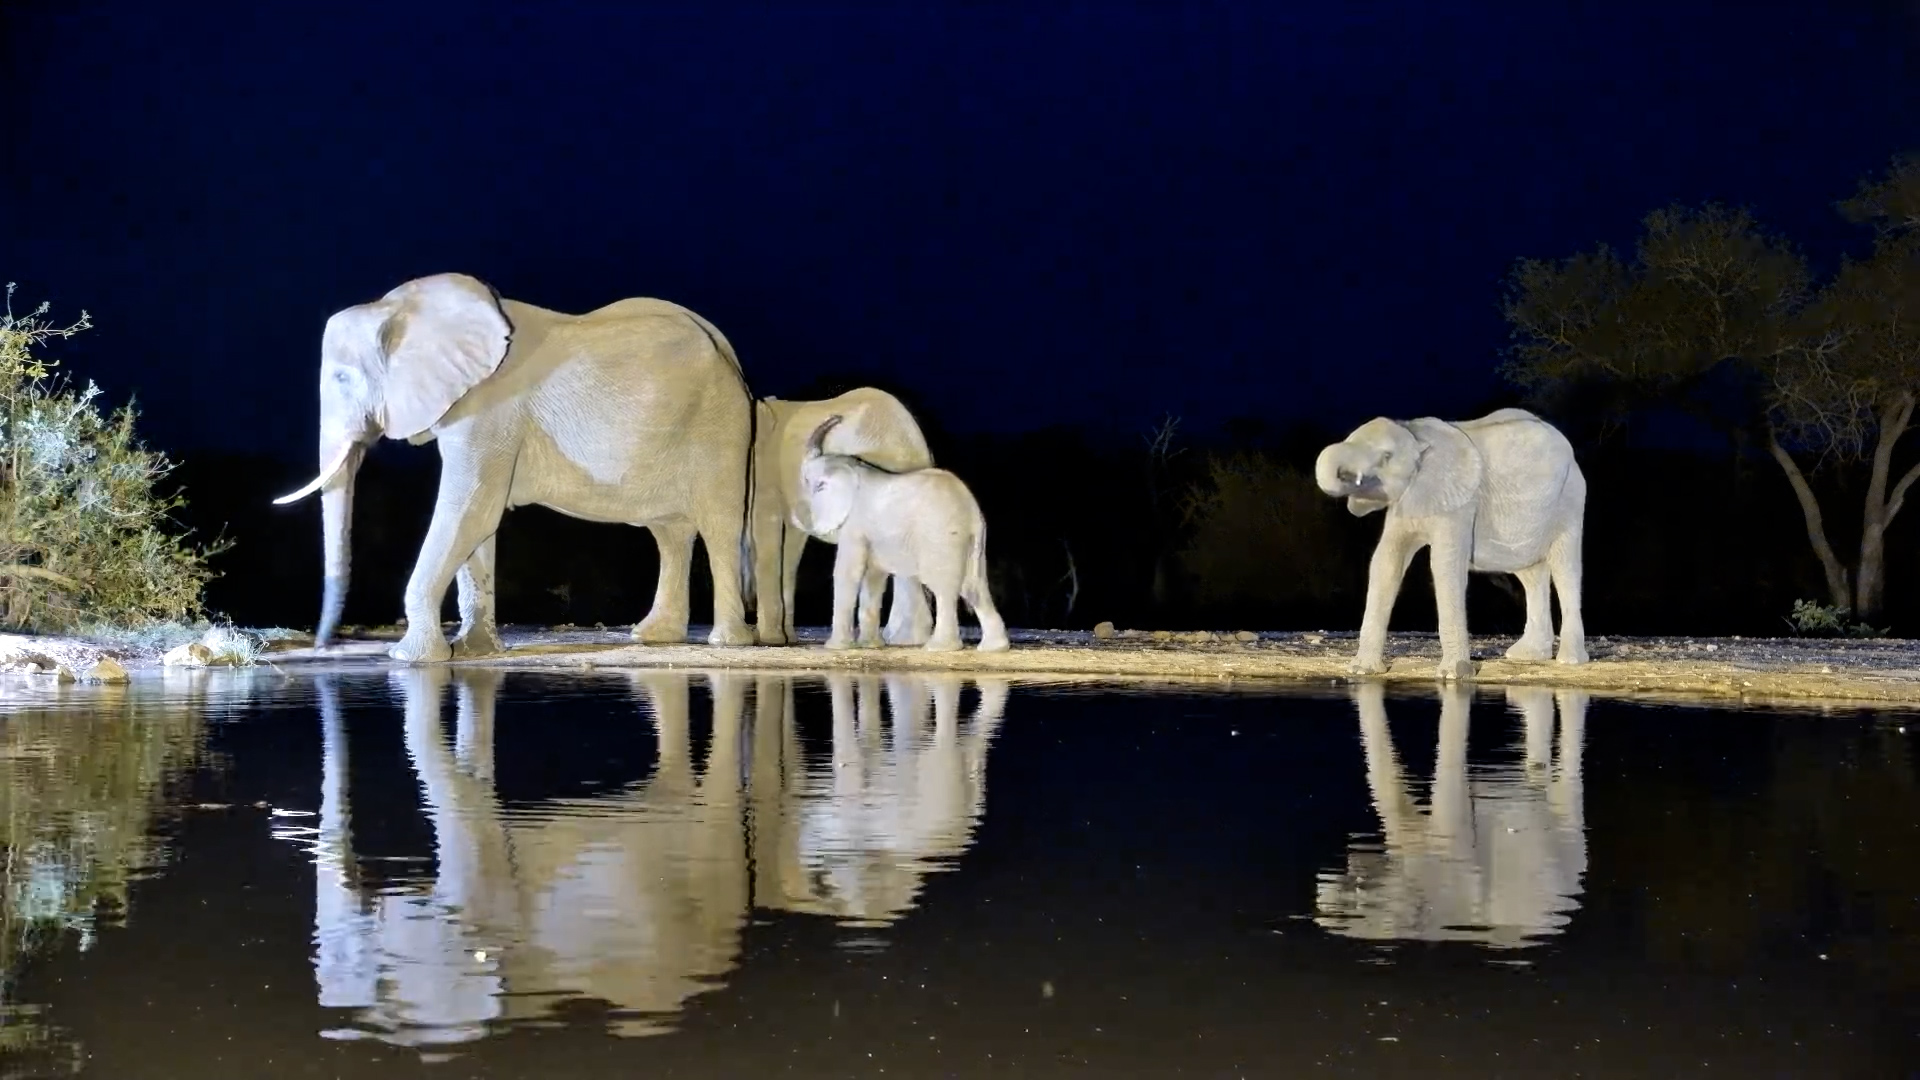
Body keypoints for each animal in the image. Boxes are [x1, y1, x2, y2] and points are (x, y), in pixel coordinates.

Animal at [273, 272, 755, 664]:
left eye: (342, 378)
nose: (324, 647)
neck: (399, 306)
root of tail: (730, 354)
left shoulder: (489, 409)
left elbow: (471, 510)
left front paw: (409, 659)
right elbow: (477, 523)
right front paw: (474, 652)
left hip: (721, 429)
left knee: (718, 526)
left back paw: (727, 643)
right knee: (670, 532)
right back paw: (652, 636)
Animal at [798, 415, 1010, 652]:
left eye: (807, 482)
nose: (839, 418)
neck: (852, 465)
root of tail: (973, 513)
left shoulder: (855, 527)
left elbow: (848, 573)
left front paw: (835, 647)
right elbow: (874, 577)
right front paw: (871, 646)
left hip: (941, 537)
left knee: (944, 588)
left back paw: (938, 648)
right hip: (973, 545)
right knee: (974, 587)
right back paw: (993, 648)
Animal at [1314, 408, 1588, 680]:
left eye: (1386, 457)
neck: (1415, 435)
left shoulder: (1460, 502)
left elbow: (1444, 566)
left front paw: (1454, 676)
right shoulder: (1407, 500)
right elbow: (1386, 562)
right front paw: (1361, 671)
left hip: (1570, 498)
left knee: (1565, 569)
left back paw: (1570, 661)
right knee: (1531, 573)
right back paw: (1526, 655)